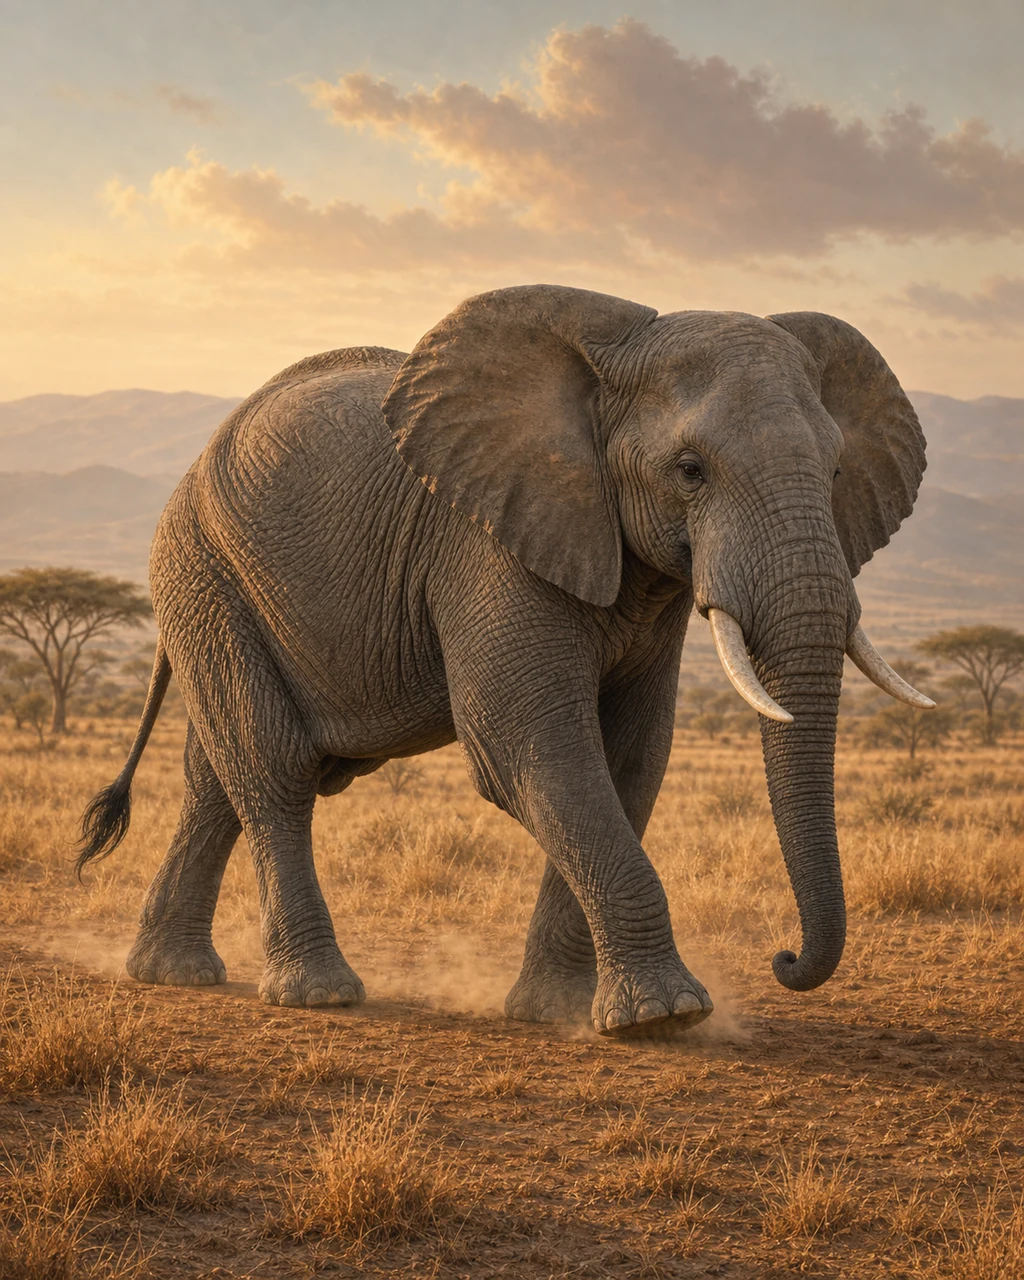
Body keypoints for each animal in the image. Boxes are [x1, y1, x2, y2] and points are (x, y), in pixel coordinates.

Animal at [77, 284, 934, 1038]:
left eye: (834, 471)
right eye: (690, 470)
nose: (784, 958)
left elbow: (629, 758)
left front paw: (558, 1013)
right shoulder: (482, 542)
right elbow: (529, 747)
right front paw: (668, 1017)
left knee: (215, 779)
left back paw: (171, 973)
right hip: (201, 569)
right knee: (272, 766)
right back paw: (317, 994)